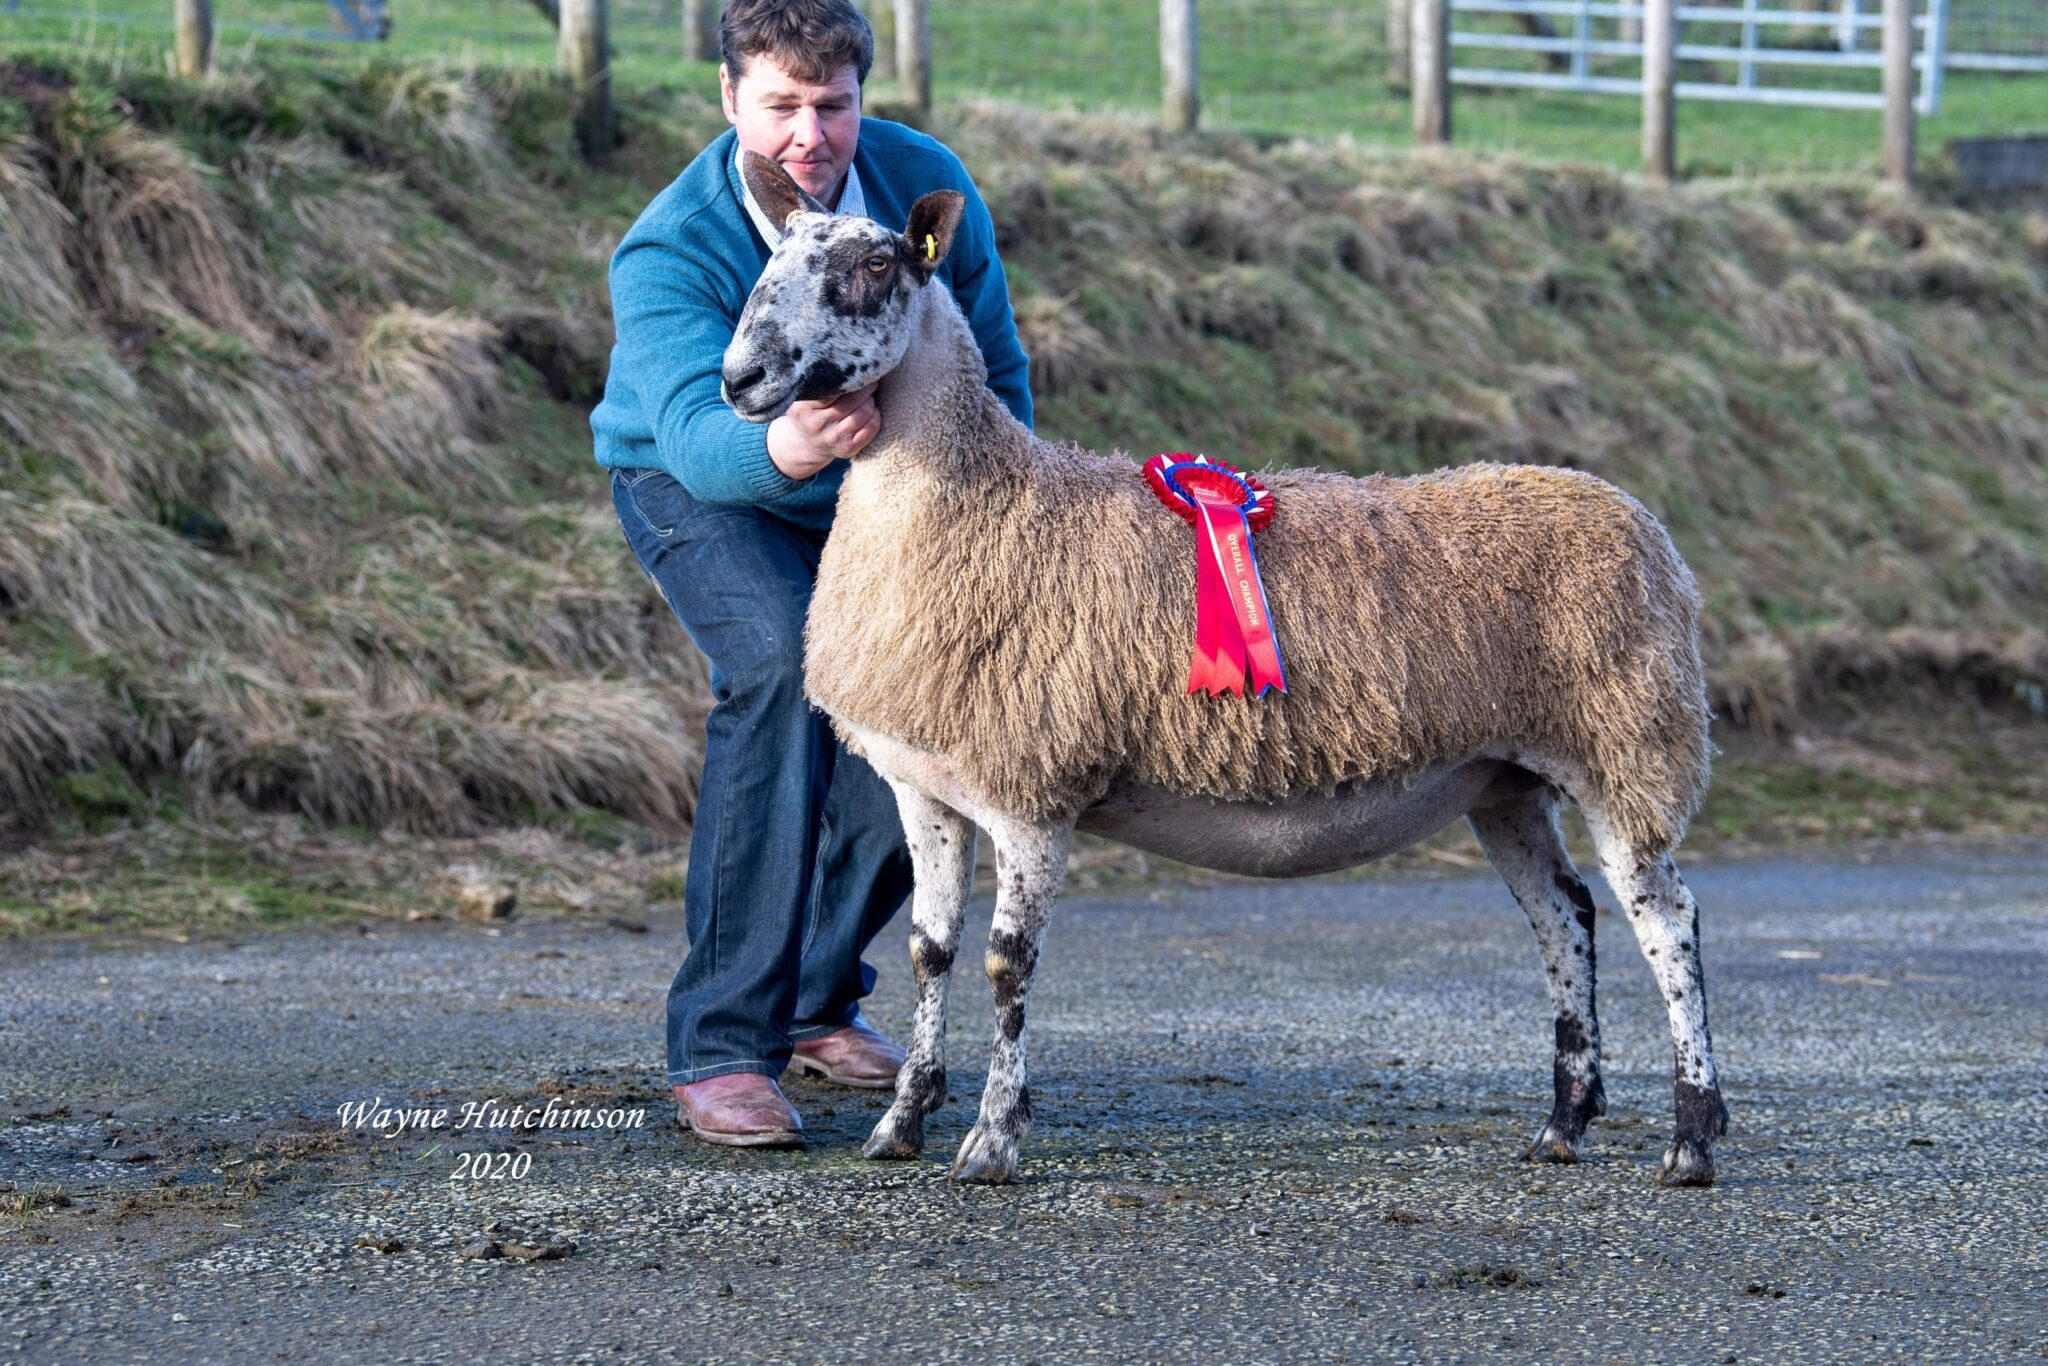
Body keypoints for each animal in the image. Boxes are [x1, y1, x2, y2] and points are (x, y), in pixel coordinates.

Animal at [720, 152, 1728, 1187]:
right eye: (773, 257)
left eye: (876, 267)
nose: (741, 376)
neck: (982, 503)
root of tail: (1637, 519)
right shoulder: (928, 789)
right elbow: (930, 953)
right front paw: (902, 1122)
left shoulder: (1034, 787)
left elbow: (1007, 964)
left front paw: (992, 1140)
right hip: (1506, 780)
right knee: (1566, 917)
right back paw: (1563, 1124)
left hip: (1628, 747)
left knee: (1667, 920)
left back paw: (1691, 1139)